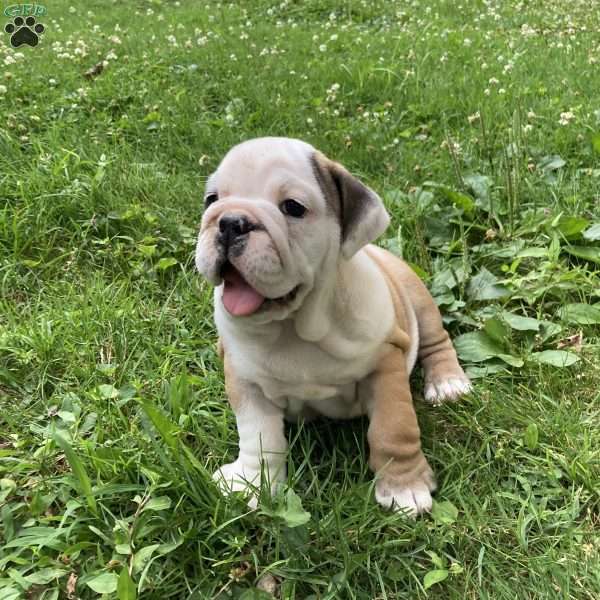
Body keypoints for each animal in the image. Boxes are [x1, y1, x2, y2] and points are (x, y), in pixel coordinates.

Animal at [195, 136, 472, 516]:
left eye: (293, 207)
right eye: (212, 199)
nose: (230, 222)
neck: (294, 325)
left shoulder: (385, 364)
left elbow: (393, 429)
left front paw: (404, 487)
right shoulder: (245, 379)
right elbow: (257, 435)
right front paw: (251, 481)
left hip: (418, 298)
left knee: (437, 341)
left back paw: (447, 384)